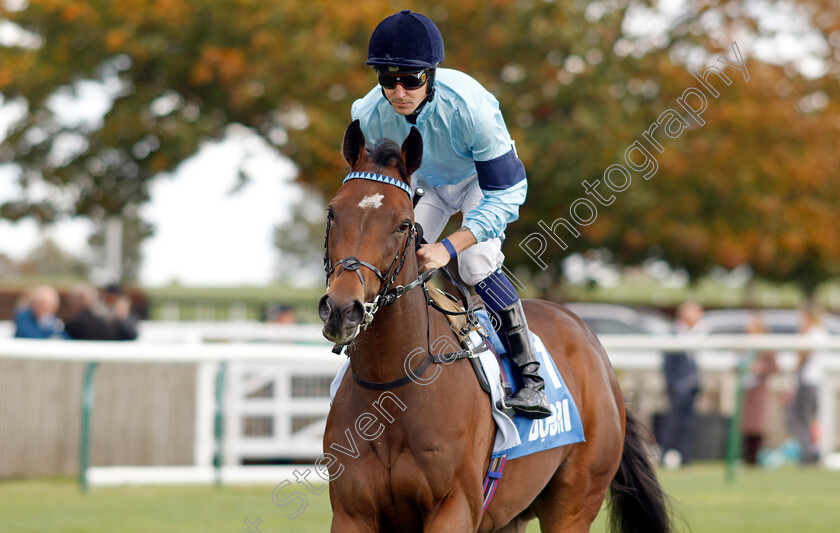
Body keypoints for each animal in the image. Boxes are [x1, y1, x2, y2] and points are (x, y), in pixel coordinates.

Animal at [318, 118, 672, 528]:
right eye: (333, 212)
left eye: (403, 224)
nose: (343, 309)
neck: (392, 385)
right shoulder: (351, 513)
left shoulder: (454, 506)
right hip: (509, 515)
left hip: (576, 500)